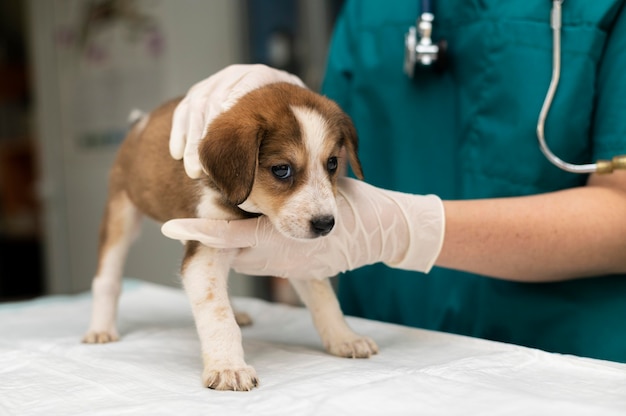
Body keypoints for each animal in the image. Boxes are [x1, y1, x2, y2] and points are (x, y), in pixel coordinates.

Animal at [81, 80, 376, 390]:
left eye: (332, 164)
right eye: (282, 169)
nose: (325, 224)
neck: (253, 212)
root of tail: (140, 123)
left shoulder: (290, 253)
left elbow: (325, 301)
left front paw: (345, 338)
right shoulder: (204, 254)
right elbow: (217, 316)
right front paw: (228, 366)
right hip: (121, 215)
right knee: (107, 279)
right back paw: (101, 328)